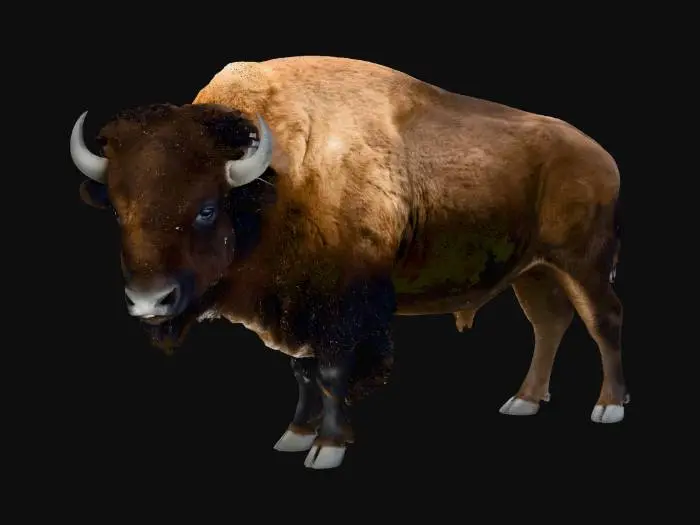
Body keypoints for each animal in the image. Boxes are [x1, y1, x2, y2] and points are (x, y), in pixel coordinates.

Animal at [70, 56, 628, 470]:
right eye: (118, 209)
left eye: (207, 208)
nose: (150, 301)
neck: (273, 183)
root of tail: (601, 156)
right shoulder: (296, 307)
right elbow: (302, 371)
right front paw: (295, 434)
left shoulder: (343, 305)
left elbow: (332, 372)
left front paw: (327, 447)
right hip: (532, 273)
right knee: (549, 324)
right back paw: (524, 400)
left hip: (583, 264)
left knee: (603, 320)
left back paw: (609, 406)